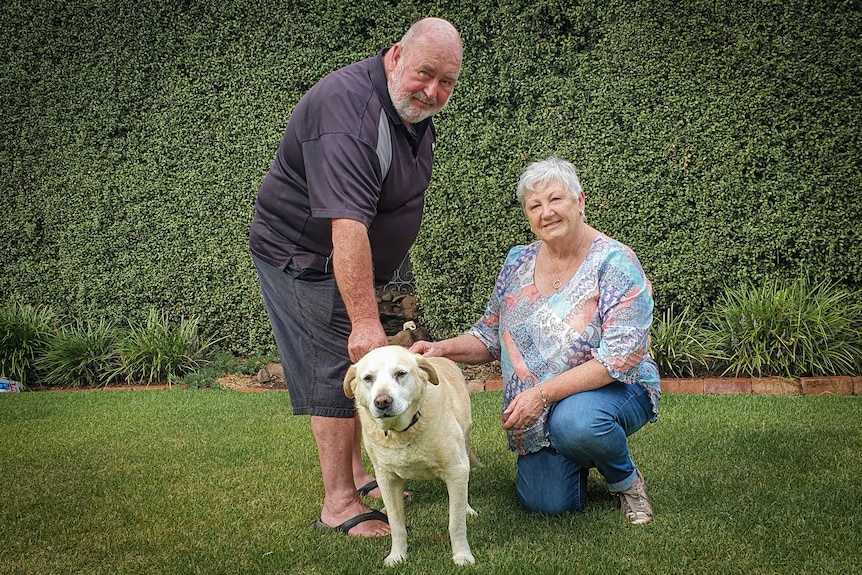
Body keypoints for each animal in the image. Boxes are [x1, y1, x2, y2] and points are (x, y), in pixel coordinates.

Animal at [344, 346, 480, 568]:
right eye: (368, 378)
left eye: (400, 373)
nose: (382, 402)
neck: (402, 432)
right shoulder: (387, 479)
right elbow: (396, 524)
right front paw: (397, 555)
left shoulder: (456, 470)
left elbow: (456, 523)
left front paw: (462, 555)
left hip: (464, 452)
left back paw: (467, 508)